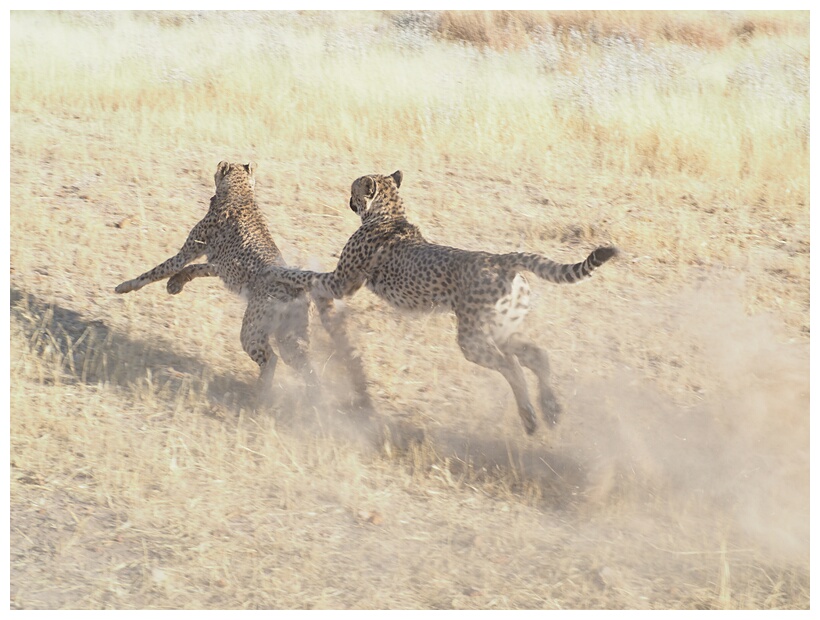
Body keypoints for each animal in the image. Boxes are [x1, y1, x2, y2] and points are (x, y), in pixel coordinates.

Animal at [113, 160, 368, 402]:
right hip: (290, 335)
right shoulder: (219, 265)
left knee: (271, 358)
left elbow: (159, 270)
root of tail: (294, 283)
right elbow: (195, 269)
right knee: (302, 363)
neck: (241, 192)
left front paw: (126, 286)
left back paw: (262, 393)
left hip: (253, 331)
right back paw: (311, 398)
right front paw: (175, 283)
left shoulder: (190, 252)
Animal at [266, 167, 620, 434]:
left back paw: (530, 417)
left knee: (511, 365)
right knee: (536, 355)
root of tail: (502, 259)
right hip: (501, 328)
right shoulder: (345, 282)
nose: (348, 200)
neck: (389, 213)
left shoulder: (342, 282)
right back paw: (551, 409)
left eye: (354, 190)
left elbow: (308, 276)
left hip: (472, 337)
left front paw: (280, 272)